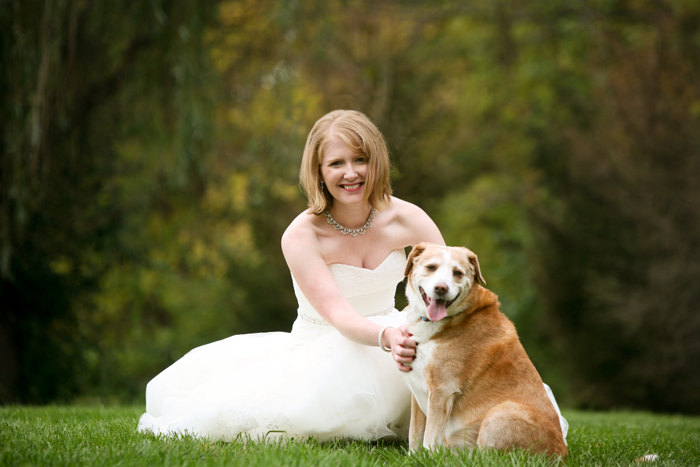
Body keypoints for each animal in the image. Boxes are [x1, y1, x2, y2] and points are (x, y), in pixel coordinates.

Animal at [402, 243, 568, 459]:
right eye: (431, 267)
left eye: (457, 273)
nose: (441, 288)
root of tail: (562, 453)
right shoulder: (417, 390)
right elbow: (415, 432)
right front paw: (413, 457)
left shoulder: (442, 390)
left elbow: (429, 436)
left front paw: (428, 459)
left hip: (499, 413)